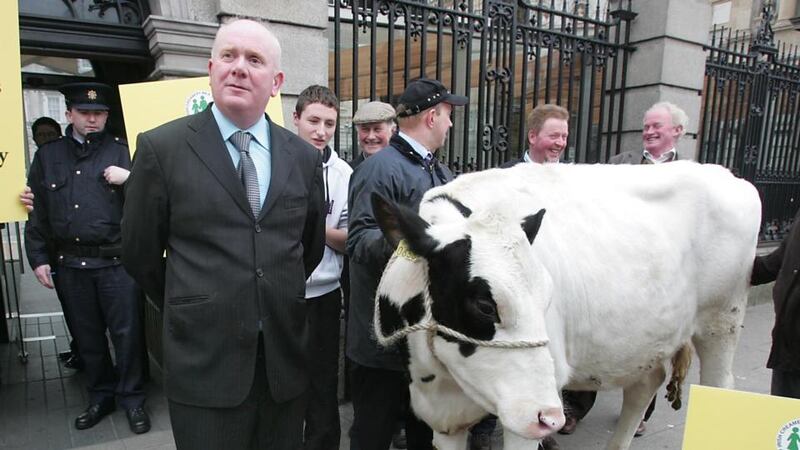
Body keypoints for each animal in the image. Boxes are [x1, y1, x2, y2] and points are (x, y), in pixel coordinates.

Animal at [372, 162, 760, 450]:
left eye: (547, 297)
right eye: (484, 304)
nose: (552, 418)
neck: (437, 378)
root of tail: (728, 175)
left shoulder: (526, 414)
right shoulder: (443, 414)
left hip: (722, 319)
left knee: (719, 384)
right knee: (645, 383)